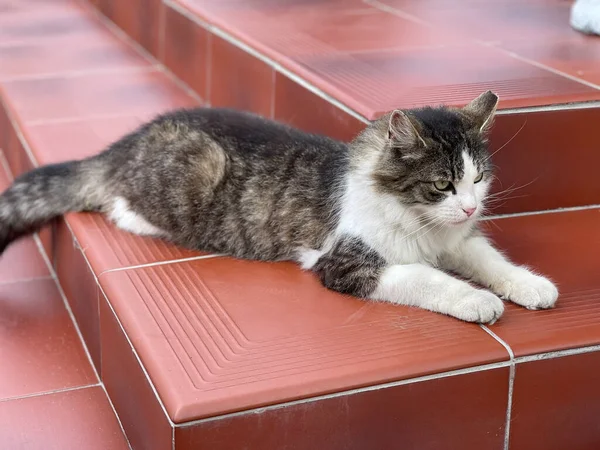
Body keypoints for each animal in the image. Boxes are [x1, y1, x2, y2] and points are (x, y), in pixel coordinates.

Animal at [0, 91, 556, 324]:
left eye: (477, 178)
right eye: (442, 184)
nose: (469, 208)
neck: (424, 227)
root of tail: (123, 143)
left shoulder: (461, 240)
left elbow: (491, 260)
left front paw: (531, 287)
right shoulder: (347, 264)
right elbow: (428, 278)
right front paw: (477, 301)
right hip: (194, 167)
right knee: (120, 203)